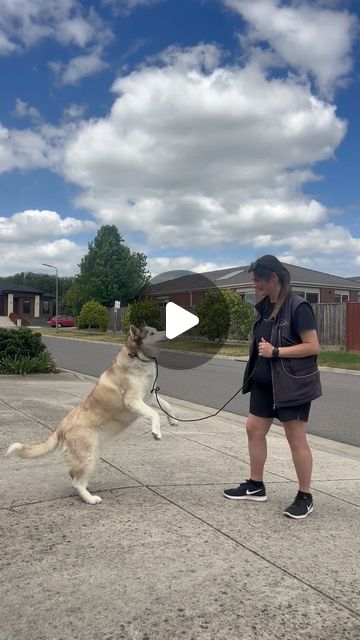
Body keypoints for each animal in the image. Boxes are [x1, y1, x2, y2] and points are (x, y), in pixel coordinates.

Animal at [6, 324, 178, 504]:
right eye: (151, 333)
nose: (169, 332)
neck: (137, 357)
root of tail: (60, 428)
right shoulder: (133, 401)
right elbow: (154, 414)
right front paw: (156, 432)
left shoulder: (150, 397)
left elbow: (166, 405)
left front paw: (172, 420)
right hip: (89, 457)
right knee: (76, 482)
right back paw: (90, 499)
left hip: (93, 454)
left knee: (74, 474)